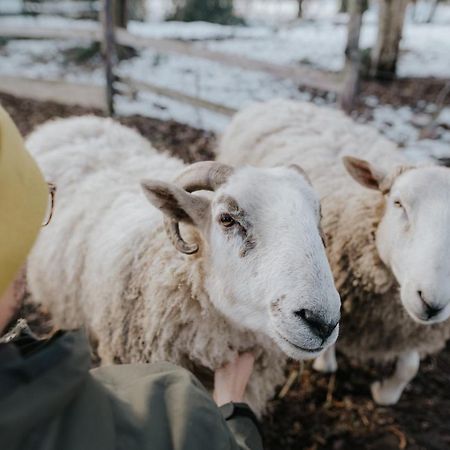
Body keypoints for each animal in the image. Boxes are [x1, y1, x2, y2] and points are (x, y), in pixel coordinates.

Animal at [217, 99, 450, 408]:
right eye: (398, 203)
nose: (432, 302)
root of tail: (286, 102)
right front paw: (326, 364)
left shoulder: (411, 326)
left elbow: (409, 368)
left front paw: (384, 392)